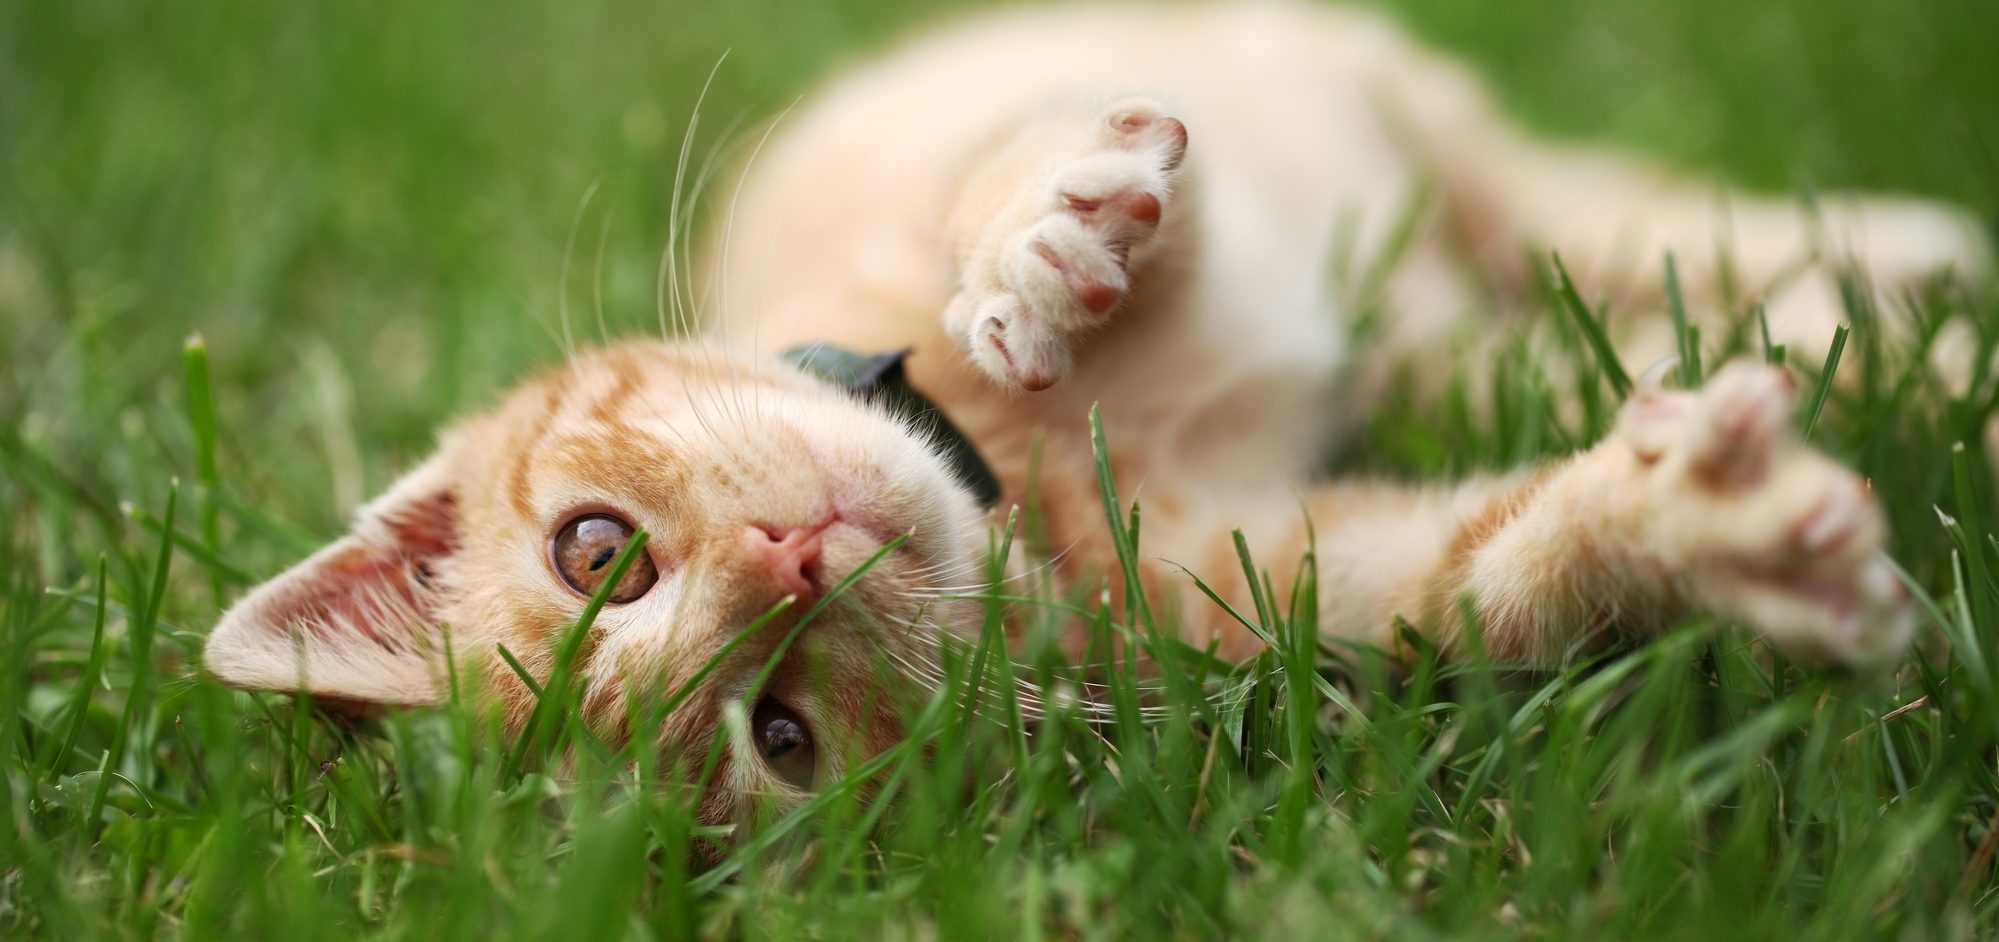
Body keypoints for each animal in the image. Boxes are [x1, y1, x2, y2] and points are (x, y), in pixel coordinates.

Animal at [198, 5, 1983, 832]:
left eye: (597, 554)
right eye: (779, 739)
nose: (793, 557)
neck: (1026, 483)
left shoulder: (980, 167)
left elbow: (1018, 191)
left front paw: (1032, 248)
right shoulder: (1271, 576)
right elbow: (1491, 572)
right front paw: (1703, 530)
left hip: (1390, 100)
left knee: (1580, 206)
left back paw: (1883, 257)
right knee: (1508, 321)